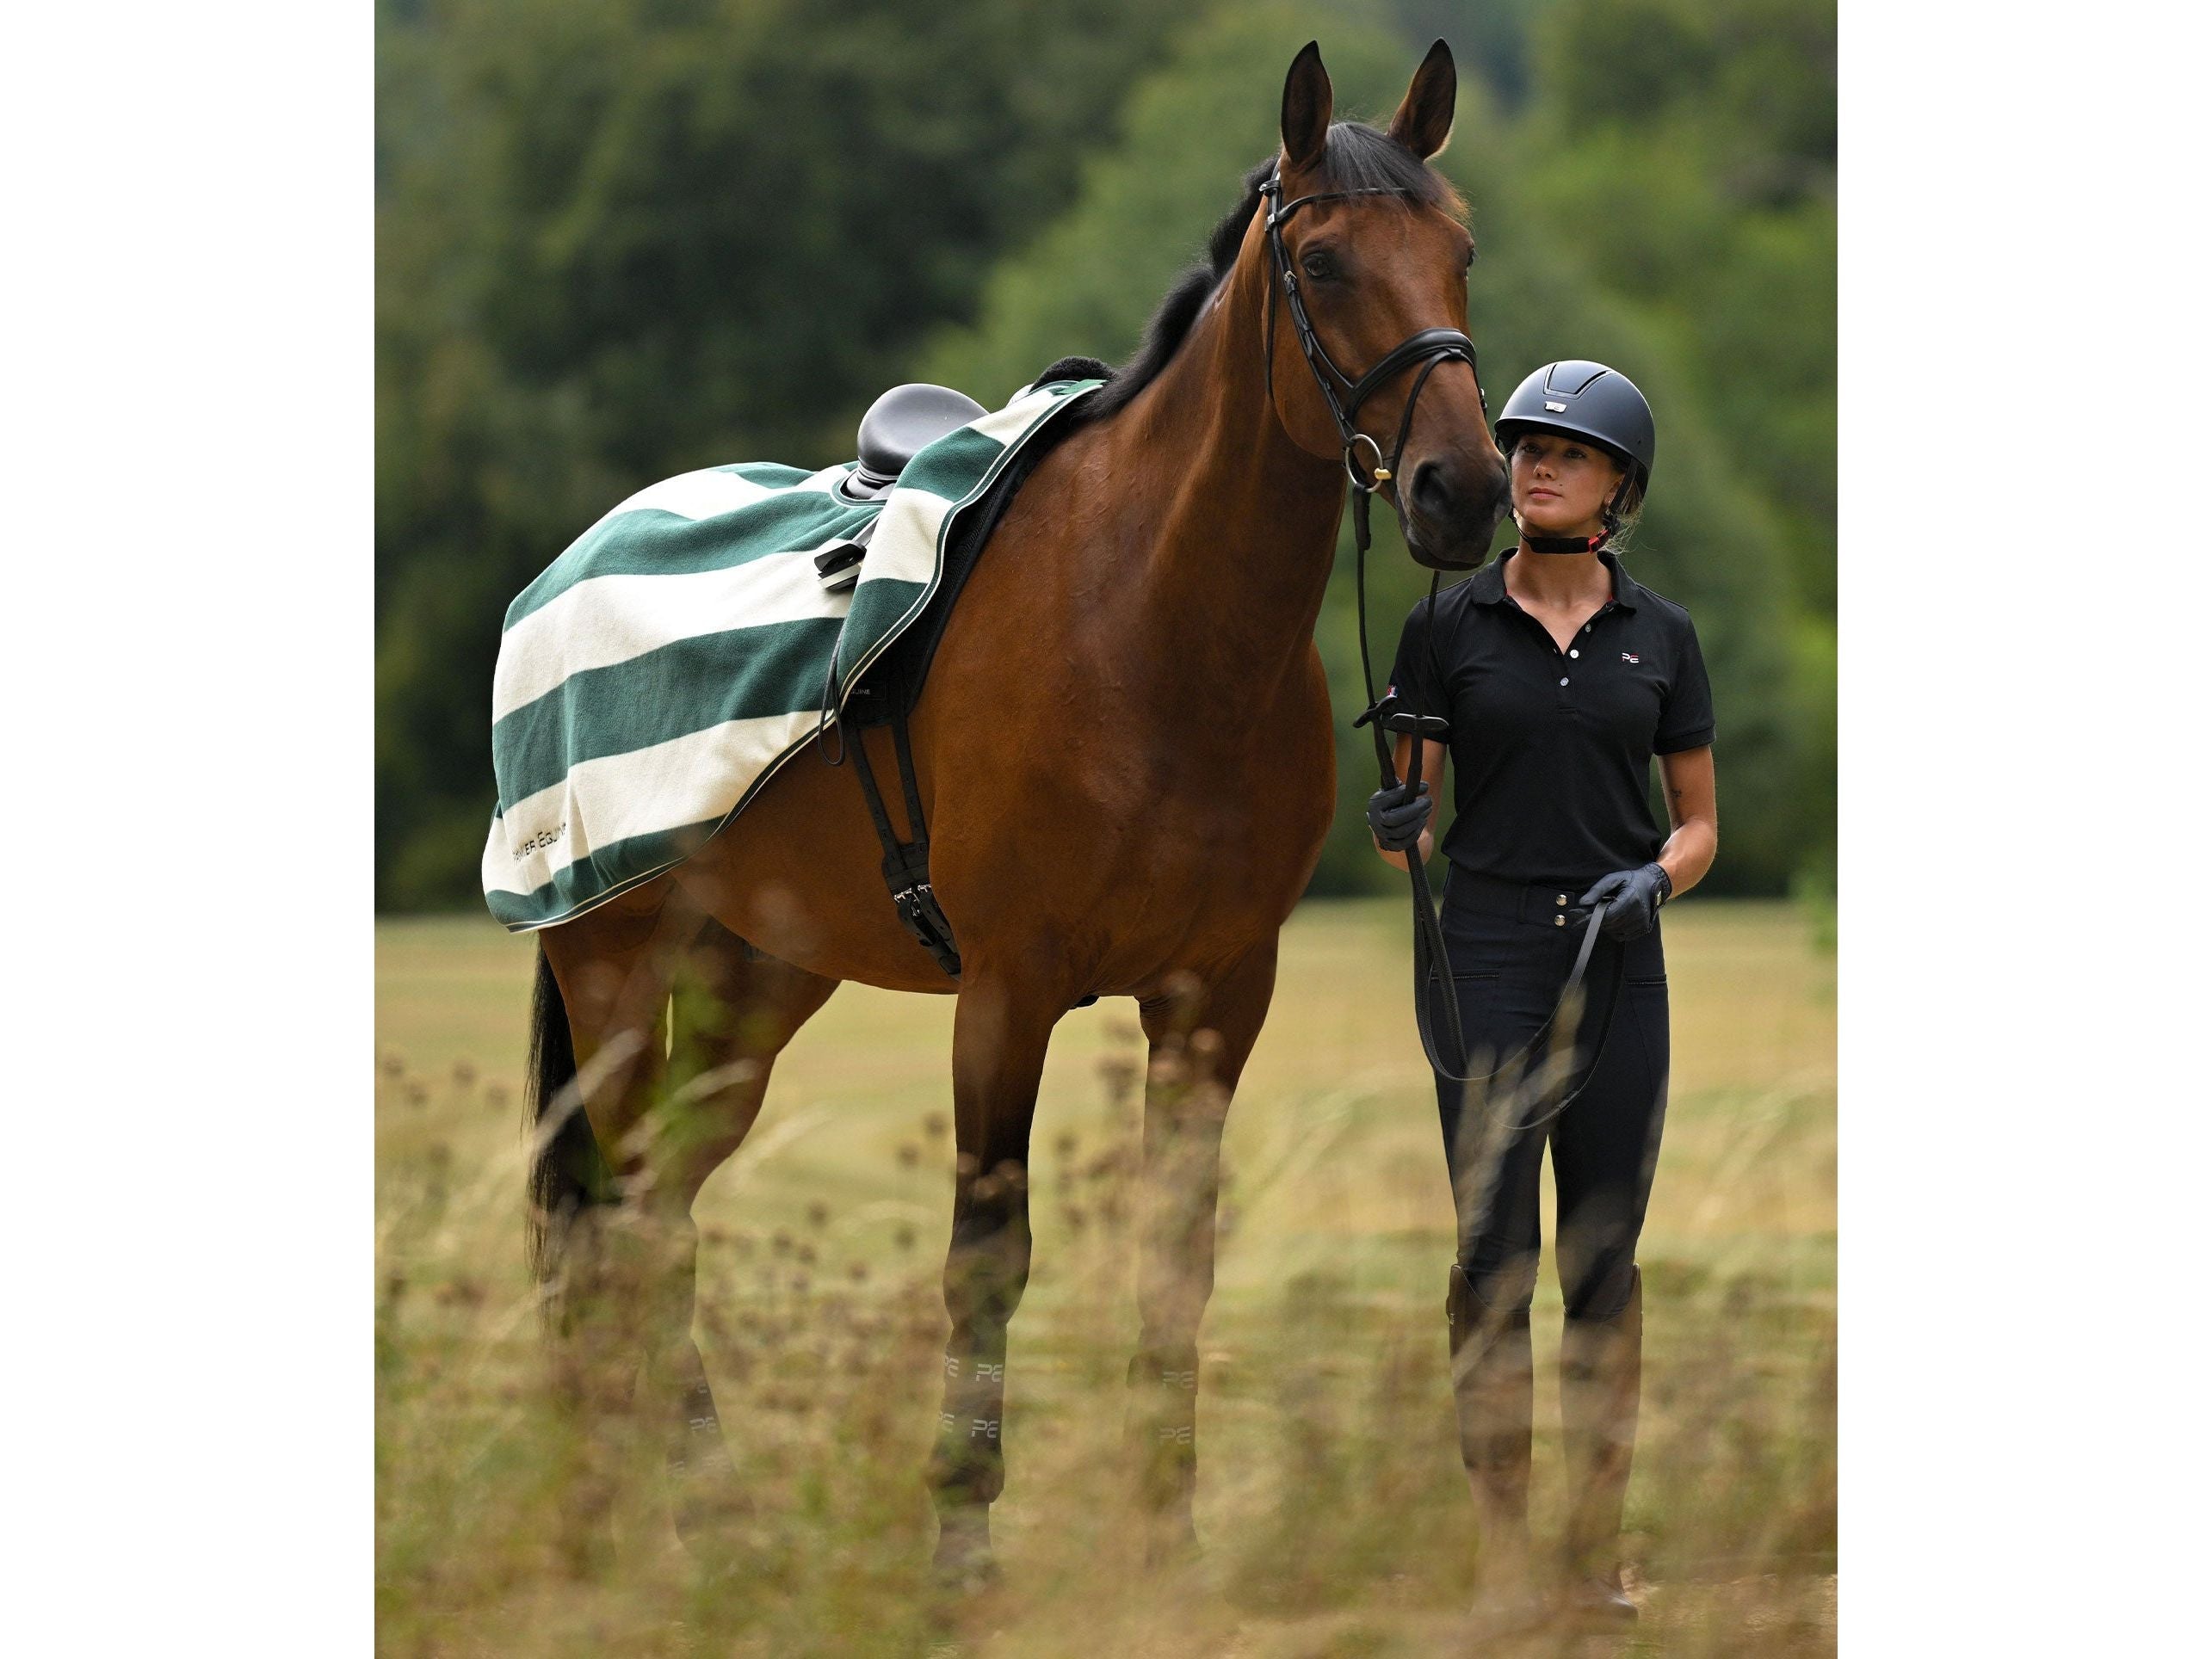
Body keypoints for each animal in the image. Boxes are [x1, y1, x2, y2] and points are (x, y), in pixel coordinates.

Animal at [520, 37, 1510, 1581]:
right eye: (1326, 260)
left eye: (1459, 252)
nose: (1461, 491)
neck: (1152, 624)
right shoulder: (1006, 989)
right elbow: (987, 1256)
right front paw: (961, 1544)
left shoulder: (1217, 992)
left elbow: (1177, 1256)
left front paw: (1161, 1535)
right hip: (612, 966)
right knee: (620, 1215)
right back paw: (646, 1515)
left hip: (757, 979)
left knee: (658, 1208)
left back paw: (694, 1507)